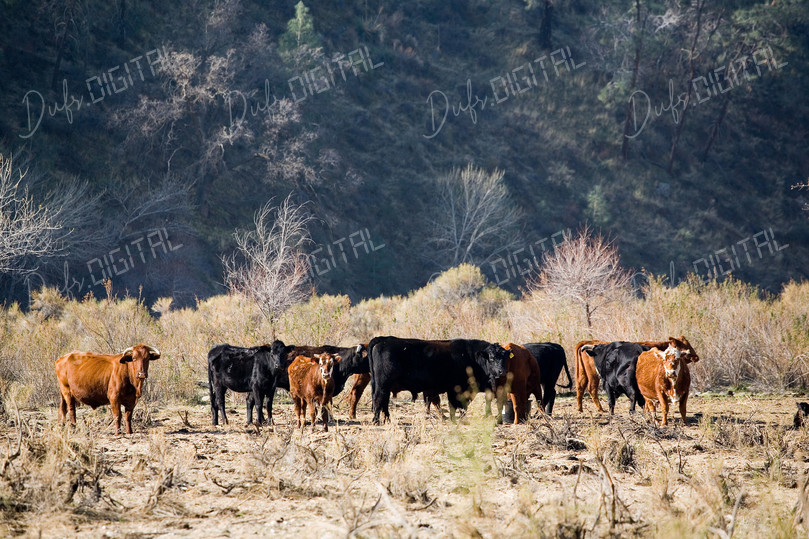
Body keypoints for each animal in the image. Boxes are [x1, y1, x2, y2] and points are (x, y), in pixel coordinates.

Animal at [368, 336, 509, 424]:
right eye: (491, 358)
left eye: (505, 357)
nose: (502, 371)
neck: (471, 357)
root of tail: (384, 339)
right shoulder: (456, 389)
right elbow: (457, 405)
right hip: (382, 385)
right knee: (378, 399)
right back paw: (376, 421)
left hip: (385, 387)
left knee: (384, 402)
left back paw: (387, 420)